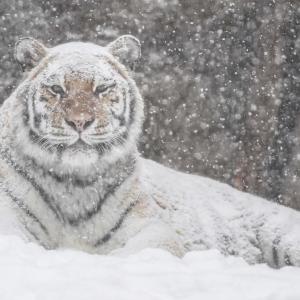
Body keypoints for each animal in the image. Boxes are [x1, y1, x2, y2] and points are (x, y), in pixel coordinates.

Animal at [0, 35, 300, 268]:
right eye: (56, 89)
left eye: (102, 88)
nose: (80, 122)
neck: (73, 184)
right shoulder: (9, 220)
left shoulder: (151, 227)